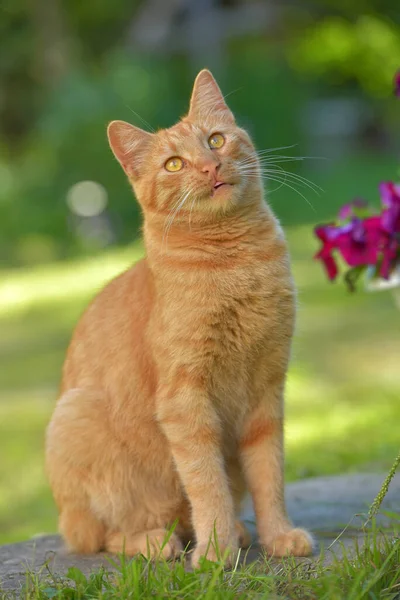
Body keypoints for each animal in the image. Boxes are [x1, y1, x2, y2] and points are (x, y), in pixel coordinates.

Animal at [46, 70, 312, 568]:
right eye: (173, 164)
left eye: (216, 140)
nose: (209, 167)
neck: (236, 264)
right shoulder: (185, 402)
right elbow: (206, 483)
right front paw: (215, 552)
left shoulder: (267, 390)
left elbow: (269, 476)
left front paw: (277, 536)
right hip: (76, 420)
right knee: (97, 535)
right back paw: (158, 541)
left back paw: (238, 533)